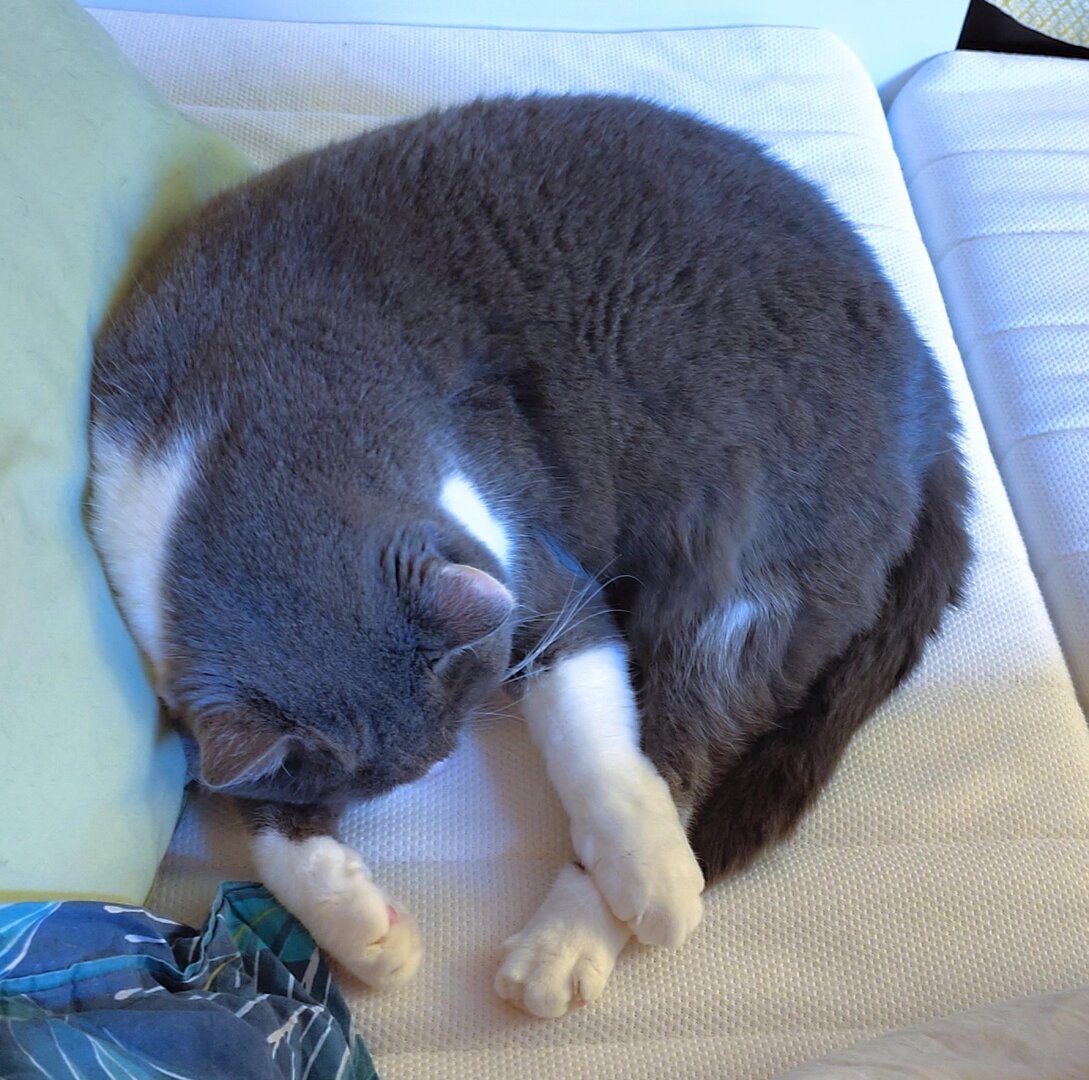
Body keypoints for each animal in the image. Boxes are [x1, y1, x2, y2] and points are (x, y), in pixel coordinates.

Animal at [87, 96, 971, 1014]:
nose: (437, 761)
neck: (242, 410)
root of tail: (933, 397)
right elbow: (262, 820)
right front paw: (367, 936)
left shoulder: (533, 563)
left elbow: (596, 745)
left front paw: (643, 873)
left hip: (748, 568)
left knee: (683, 743)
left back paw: (574, 939)